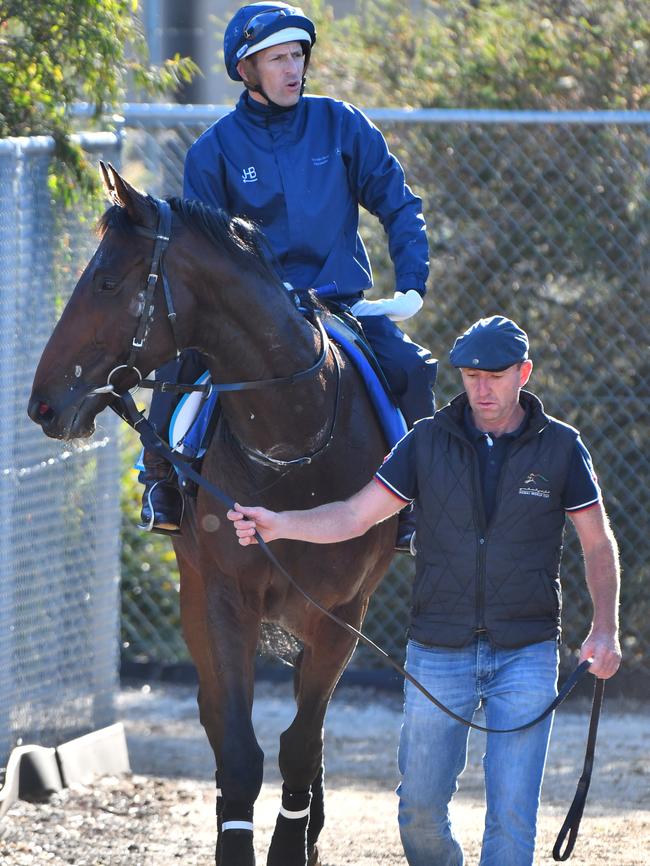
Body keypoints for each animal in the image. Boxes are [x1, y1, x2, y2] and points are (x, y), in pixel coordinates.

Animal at [27, 165, 394, 860]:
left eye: (107, 281)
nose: (42, 404)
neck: (295, 440)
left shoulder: (342, 613)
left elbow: (301, 745)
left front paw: (293, 843)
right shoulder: (224, 597)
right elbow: (239, 750)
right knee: (220, 720)